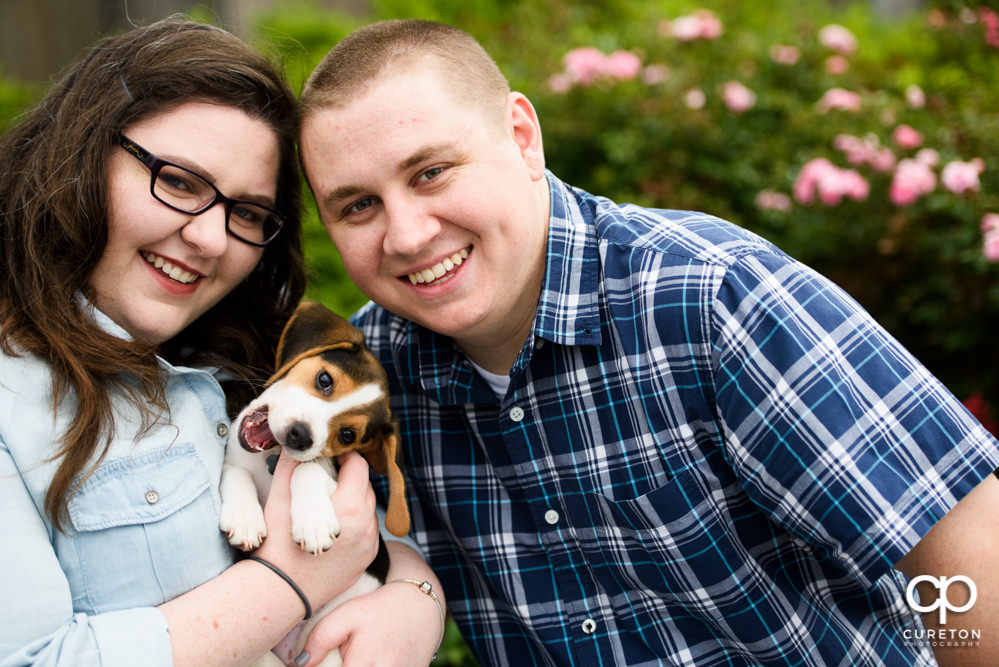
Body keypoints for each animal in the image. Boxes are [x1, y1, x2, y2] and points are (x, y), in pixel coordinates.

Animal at [219, 304, 410, 667]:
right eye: (325, 380)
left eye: (347, 435)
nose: (300, 435)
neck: (270, 463)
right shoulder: (235, 461)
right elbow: (235, 473)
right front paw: (244, 519)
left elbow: (306, 471)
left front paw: (314, 523)